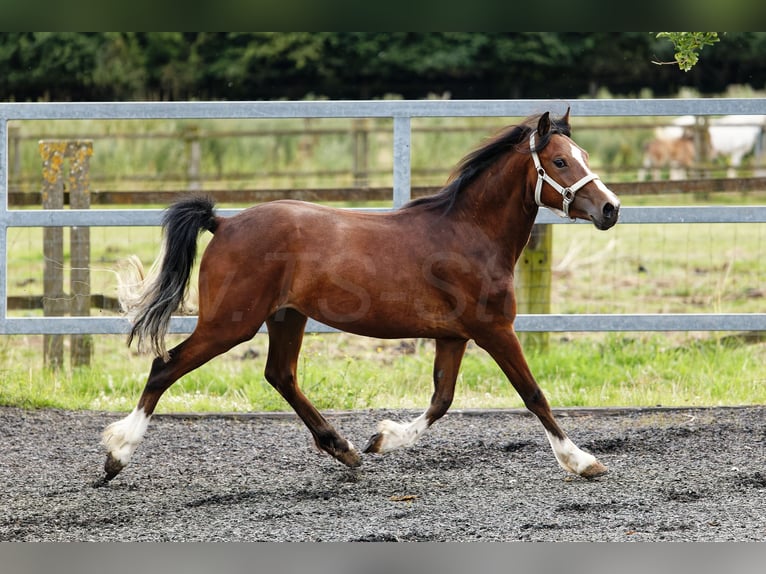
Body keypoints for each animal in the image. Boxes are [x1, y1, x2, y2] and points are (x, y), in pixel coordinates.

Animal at [96, 110, 624, 488]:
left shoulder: (454, 335)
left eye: (584, 154)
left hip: (286, 317)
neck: (469, 233)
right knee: (165, 366)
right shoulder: (494, 329)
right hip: (231, 322)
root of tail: (222, 223)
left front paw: (380, 440)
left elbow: (441, 399)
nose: (610, 209)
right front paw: (582, 461)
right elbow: (533, 394)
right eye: (560, 162)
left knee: (280, 375)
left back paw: (344, 449)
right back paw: (116, 455)